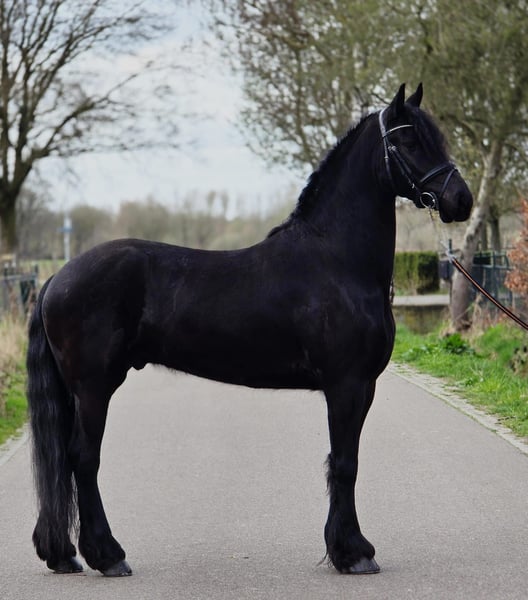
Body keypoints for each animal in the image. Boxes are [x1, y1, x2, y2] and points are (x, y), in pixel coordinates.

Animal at [27, 84, 472, 577]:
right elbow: (345, 463)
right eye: (408, 140)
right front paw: (353, 553)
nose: (461, 200)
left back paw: (64, 554)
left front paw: (345, 548)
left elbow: (344, 460)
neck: (337, 261)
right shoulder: (348, 385)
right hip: (93, 388)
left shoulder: (363, 387)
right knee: (83, 461)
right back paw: (108, 556)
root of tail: (57, 277)